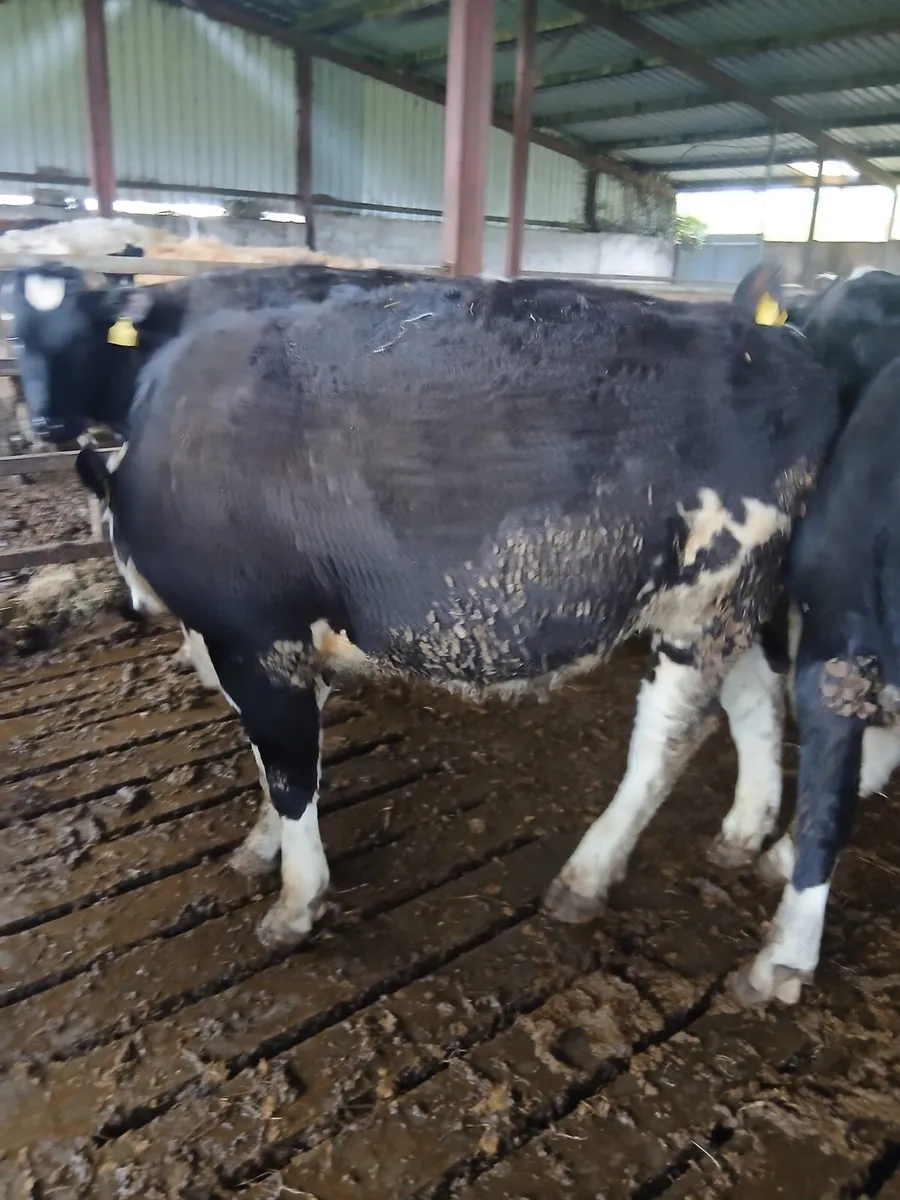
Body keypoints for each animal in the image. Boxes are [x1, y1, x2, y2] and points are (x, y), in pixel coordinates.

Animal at [73, 271, 838, 950]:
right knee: (756, 699)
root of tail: (782, 343)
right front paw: (263, 849)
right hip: (736, 601)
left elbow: (288, 770)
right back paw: (744, 829)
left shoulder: (254, 639)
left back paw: (587, 876)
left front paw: (295, 900)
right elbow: (282, 766)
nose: (132, 606)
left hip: (707, 596)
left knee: (670, 737)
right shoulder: (294, 644)